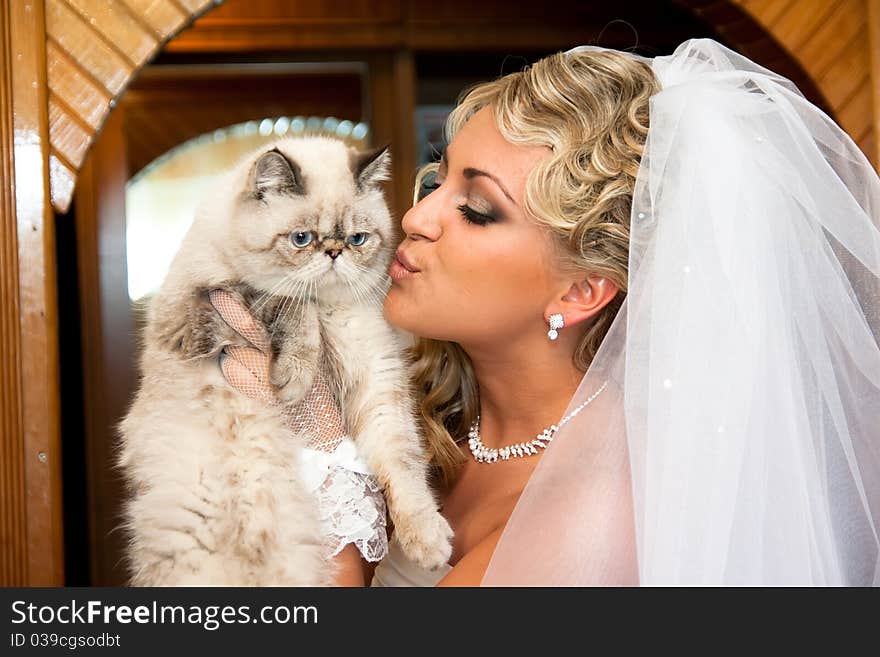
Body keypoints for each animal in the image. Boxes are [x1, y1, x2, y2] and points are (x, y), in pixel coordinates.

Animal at [117, 137, 454, 584]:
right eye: (301, 238)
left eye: (358, 239)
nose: (334, 251)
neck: (329, 306)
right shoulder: (203, 308)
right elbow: (292, 303)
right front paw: (296, 376)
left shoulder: (378, 386)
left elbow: (405, 471)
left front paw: (428, 544)